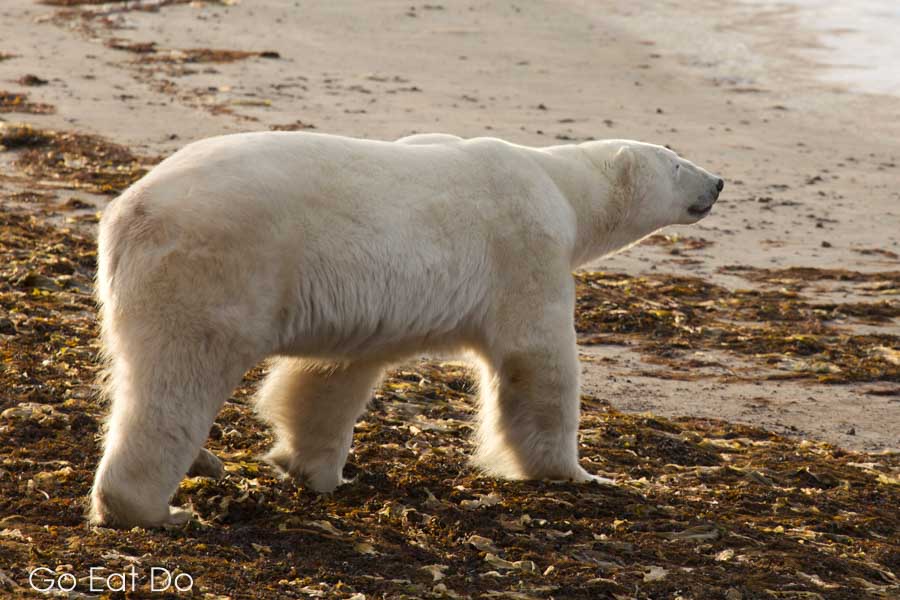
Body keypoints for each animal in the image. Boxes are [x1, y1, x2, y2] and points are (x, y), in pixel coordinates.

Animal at [89, 130, 724, 524]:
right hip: (217, 266)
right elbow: (537, 362)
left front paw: (319, 471)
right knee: (179, 377)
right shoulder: (525, 248)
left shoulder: (363, 313)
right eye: (676, 163)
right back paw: (158, 508)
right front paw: (580, 474)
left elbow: (329, 379)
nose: (717, 182)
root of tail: (127, 213)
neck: (558, 182)